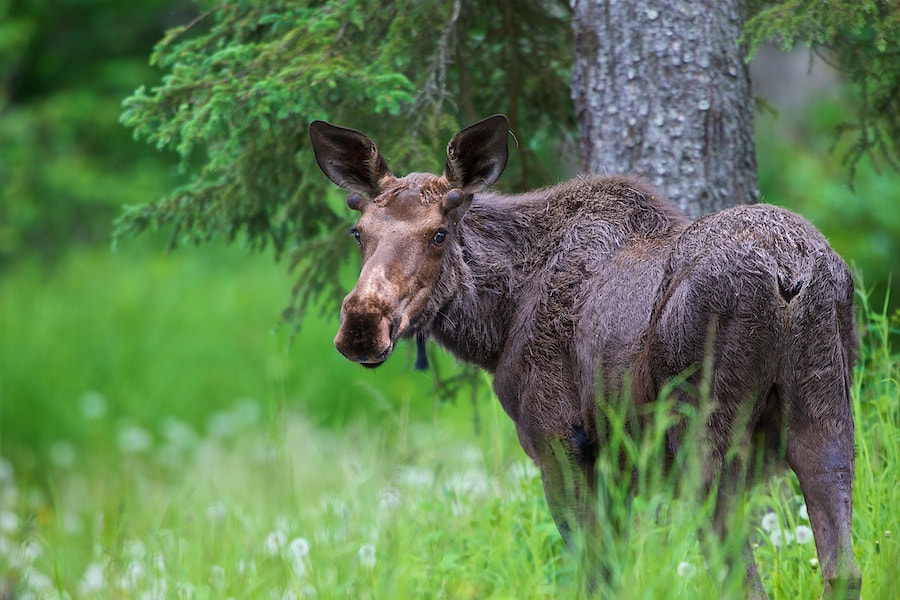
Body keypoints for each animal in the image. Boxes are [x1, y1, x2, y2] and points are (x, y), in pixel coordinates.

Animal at [308, 115, 856, 596]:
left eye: (439, 233)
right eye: (359, 232)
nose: (362, 325)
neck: (496, 326)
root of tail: (788, 274)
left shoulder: (560, 441)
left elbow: (595, 575)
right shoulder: (615, 464)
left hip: (705, 435)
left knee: (742, 577)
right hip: (827, 417)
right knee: (842, 569)